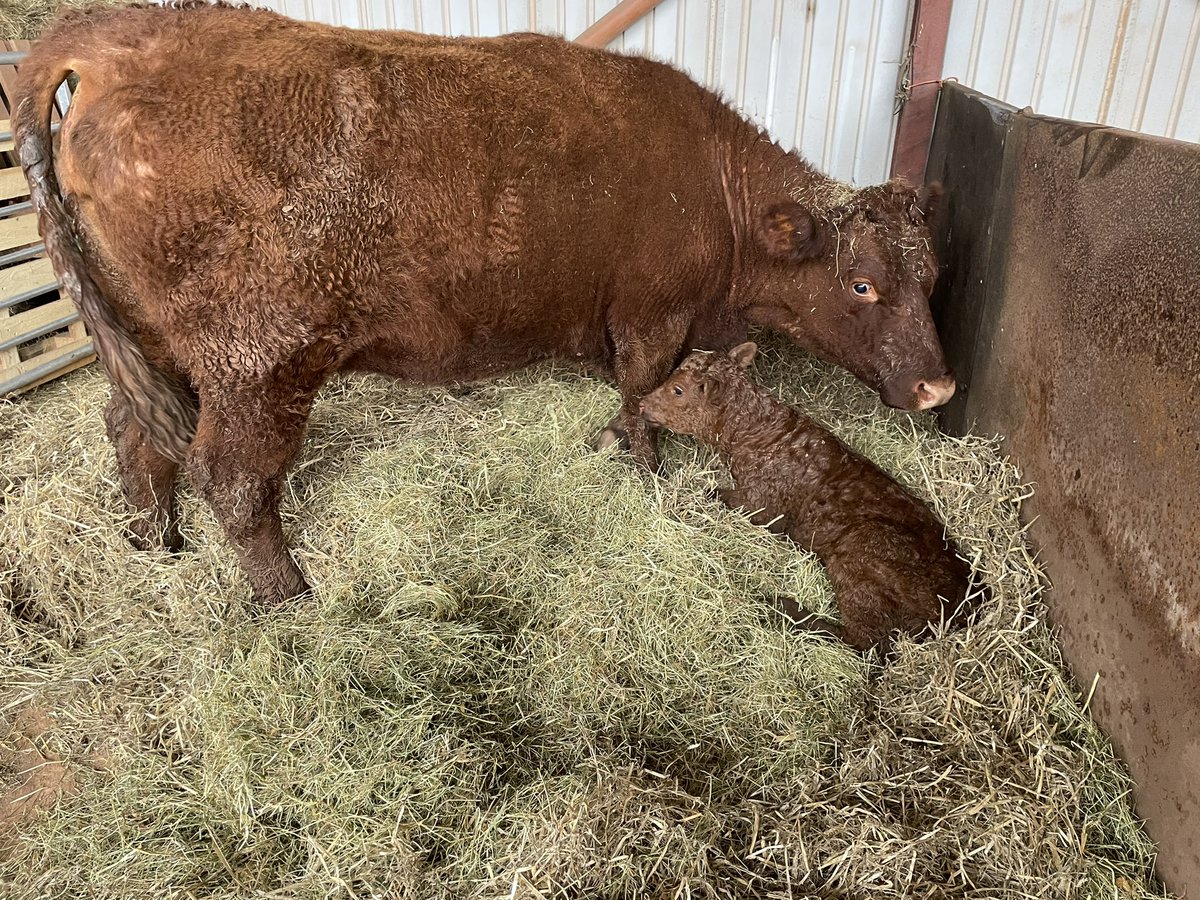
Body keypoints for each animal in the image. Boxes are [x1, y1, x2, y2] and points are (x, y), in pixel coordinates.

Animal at [14, 1, 955, 605]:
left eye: (936, 276)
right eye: (863, 283)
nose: (940, 387)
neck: (712, 190)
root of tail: (110, 37)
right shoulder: (650, 320)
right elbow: (643, 399)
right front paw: (645, 472)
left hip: (156, 344)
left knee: (134, 434)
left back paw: (156, 547)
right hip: (258, 363)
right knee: (233, 477)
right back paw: (287, 595)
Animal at [639, 343, 975, 652]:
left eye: (677, 390)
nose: (641, 404)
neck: (755, 431)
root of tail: (963, 606)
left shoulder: (764, 504)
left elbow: (715, 494)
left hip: (861, 562)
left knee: (865, 641)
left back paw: (783, 608)